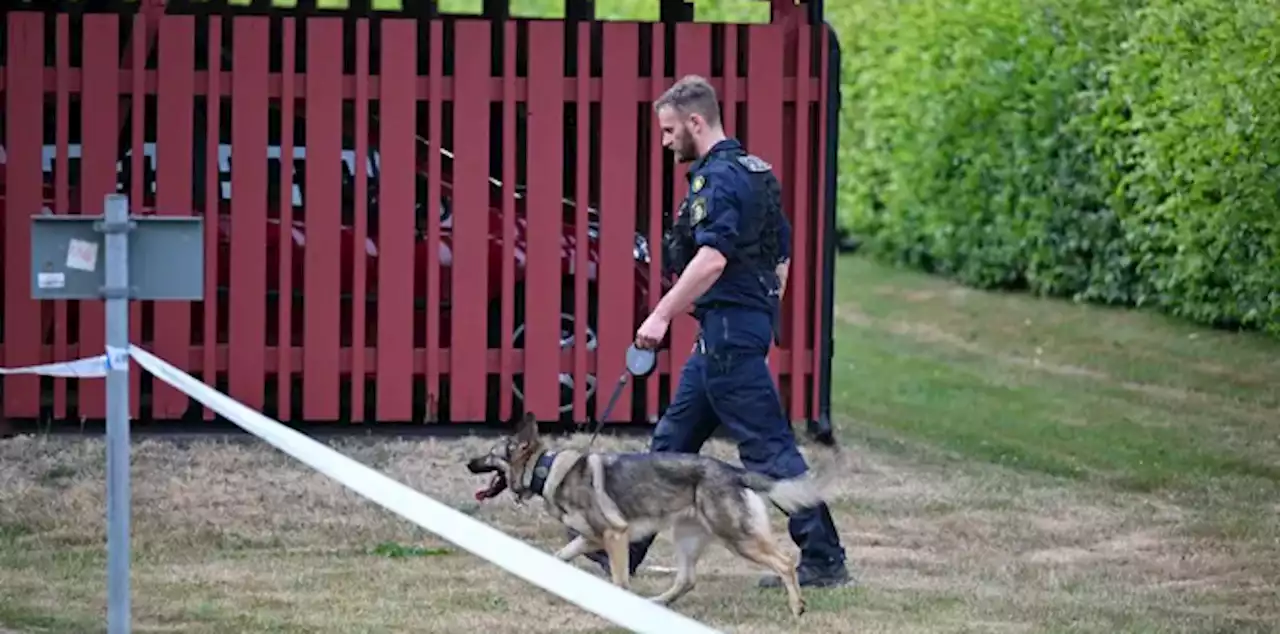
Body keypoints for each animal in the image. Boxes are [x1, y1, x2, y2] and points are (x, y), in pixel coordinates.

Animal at [465, 414, 834, 617]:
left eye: (490, 455)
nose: (468, 463)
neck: (545, 469)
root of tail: (733, 471)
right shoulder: (590, 538)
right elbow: (560, 555)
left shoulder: (615, 535)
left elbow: (619, 579)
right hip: (686, 538)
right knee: (687, 579)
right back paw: (656, 603)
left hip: (737, 538)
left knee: (785, 562)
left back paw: (797, 607)